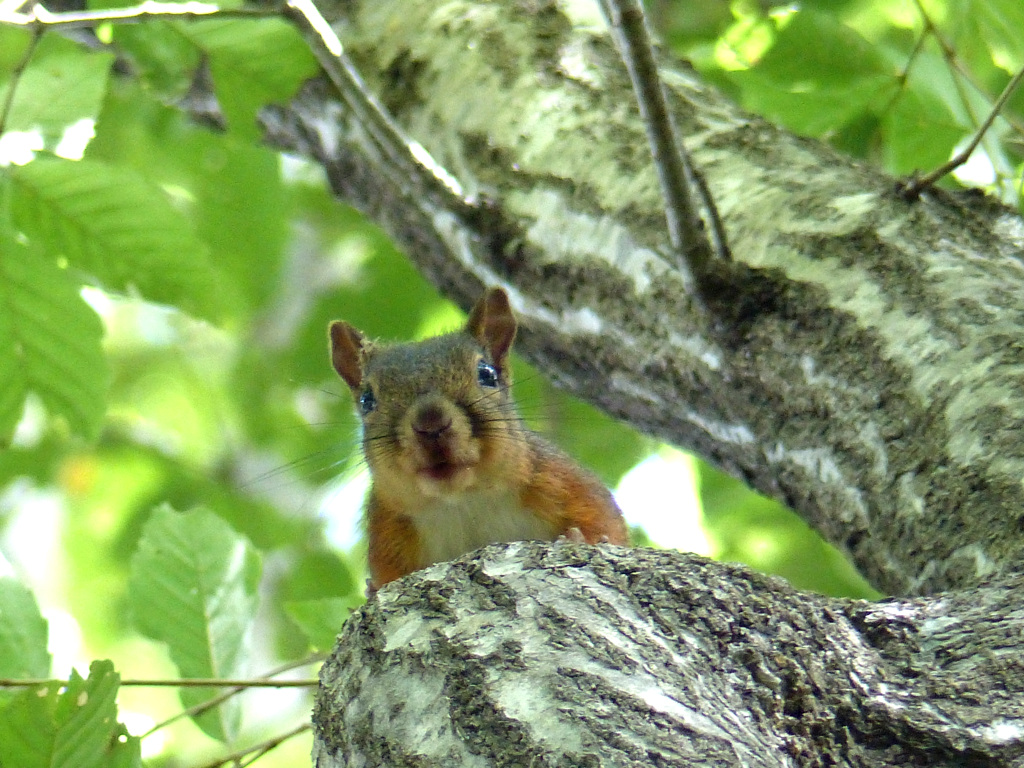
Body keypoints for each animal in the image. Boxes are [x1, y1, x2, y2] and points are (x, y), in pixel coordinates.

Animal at [331, 286, 626, 589]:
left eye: (487, 374)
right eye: (367, 400)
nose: (431, 424)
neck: (466, 501)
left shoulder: (564, 480)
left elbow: (606, 525)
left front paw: (582, 539)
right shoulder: (387, 532)